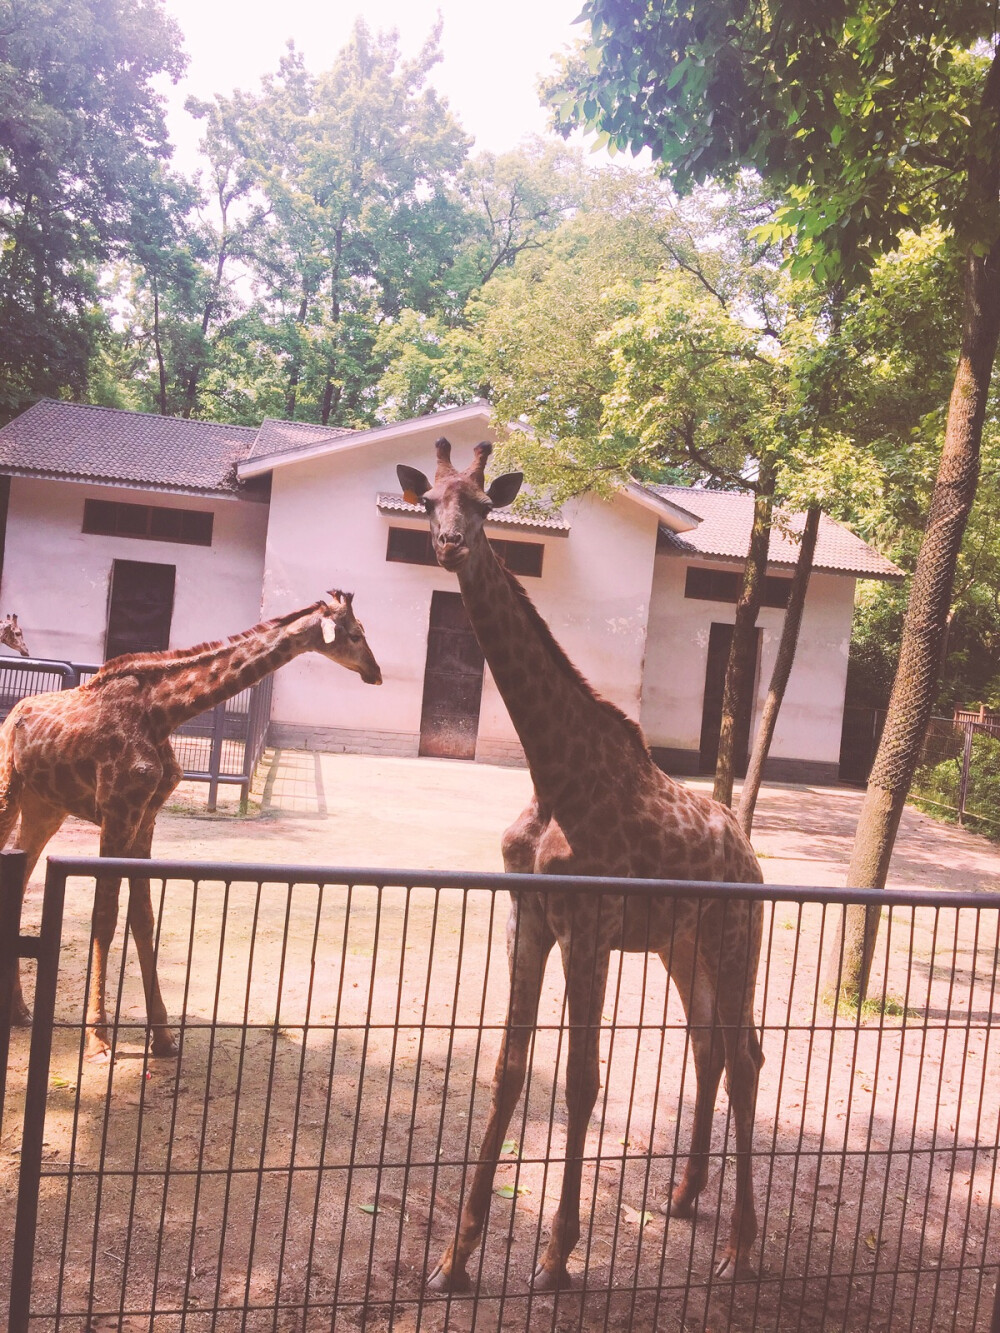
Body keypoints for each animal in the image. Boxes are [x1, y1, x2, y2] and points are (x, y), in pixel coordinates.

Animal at [0, 594, 384, 1061]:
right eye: (356, 634)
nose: (376, 672)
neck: (164, 712)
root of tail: (12, 714)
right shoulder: (117, 809)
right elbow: (105, 917)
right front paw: (98, 1040)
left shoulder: (145, 817)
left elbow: (144, 917)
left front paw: (164, 1037)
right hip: (9, 790)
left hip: (45, 807)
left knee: (20, 881)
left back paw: (19, 1011)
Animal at [394, 445, 762, 1290]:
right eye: (428, 500)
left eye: (482, 507)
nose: (449, 545)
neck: (552, 774)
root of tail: (749, 850)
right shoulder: (528, 915)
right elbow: (508, 1067)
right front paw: (455, 1257)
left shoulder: (588, 927)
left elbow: (582, 1078)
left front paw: (558, 1253)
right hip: (681, 945)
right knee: (711, 1046)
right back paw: (685, 1196)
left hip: (735, 939)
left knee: (747, 1056)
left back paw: (740, 1246)